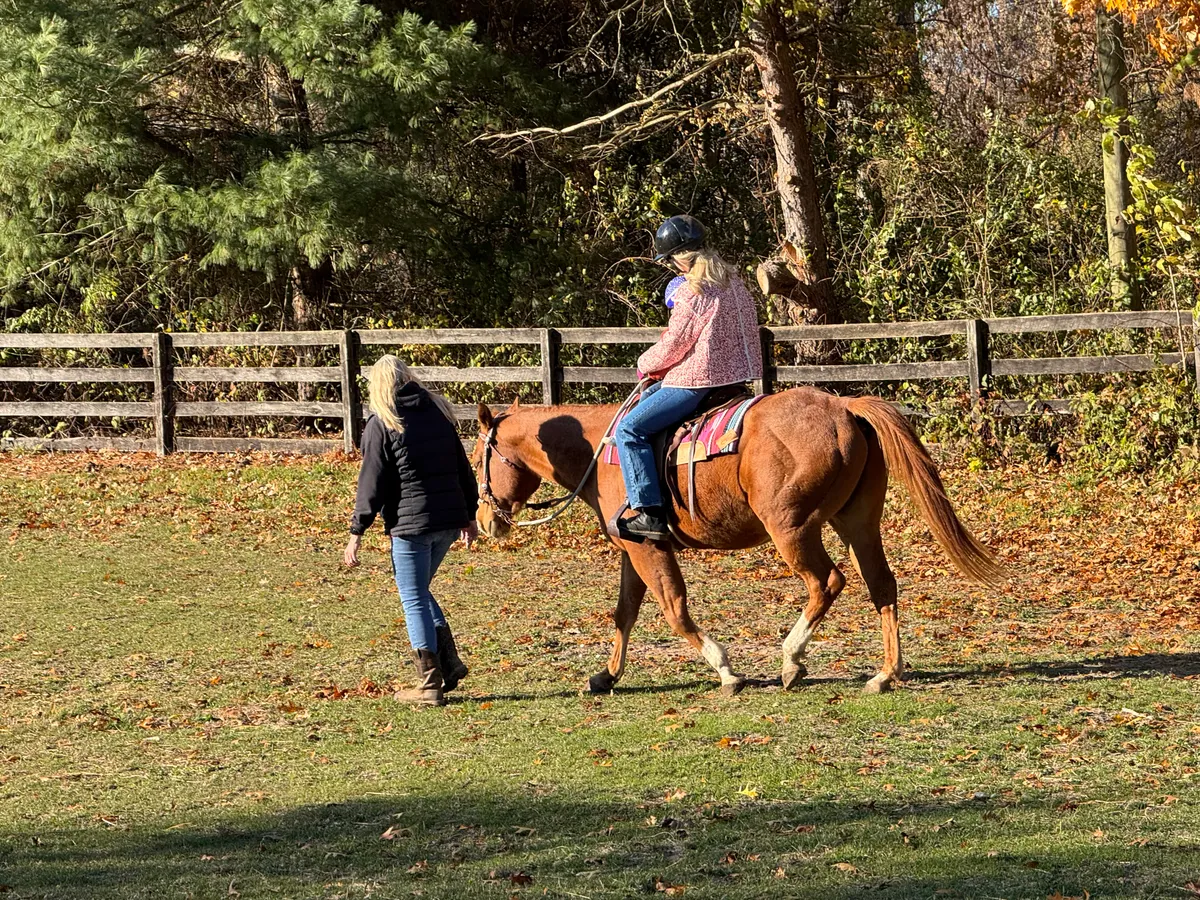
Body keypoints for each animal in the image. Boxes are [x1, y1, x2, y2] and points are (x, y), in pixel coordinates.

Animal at [471, 387, 1004, 696]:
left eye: (479, 456)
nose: (484, 519)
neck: (602, 450)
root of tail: (842, 407)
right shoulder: (634, 550)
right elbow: (624, 613)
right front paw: (606, 676)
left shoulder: (649, 548)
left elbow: (674, 608)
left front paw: (727, 670)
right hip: (857, 523)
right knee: (882, 585)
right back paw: (884, 674)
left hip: (791, 528)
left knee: (827, 582)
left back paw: (792, 661)